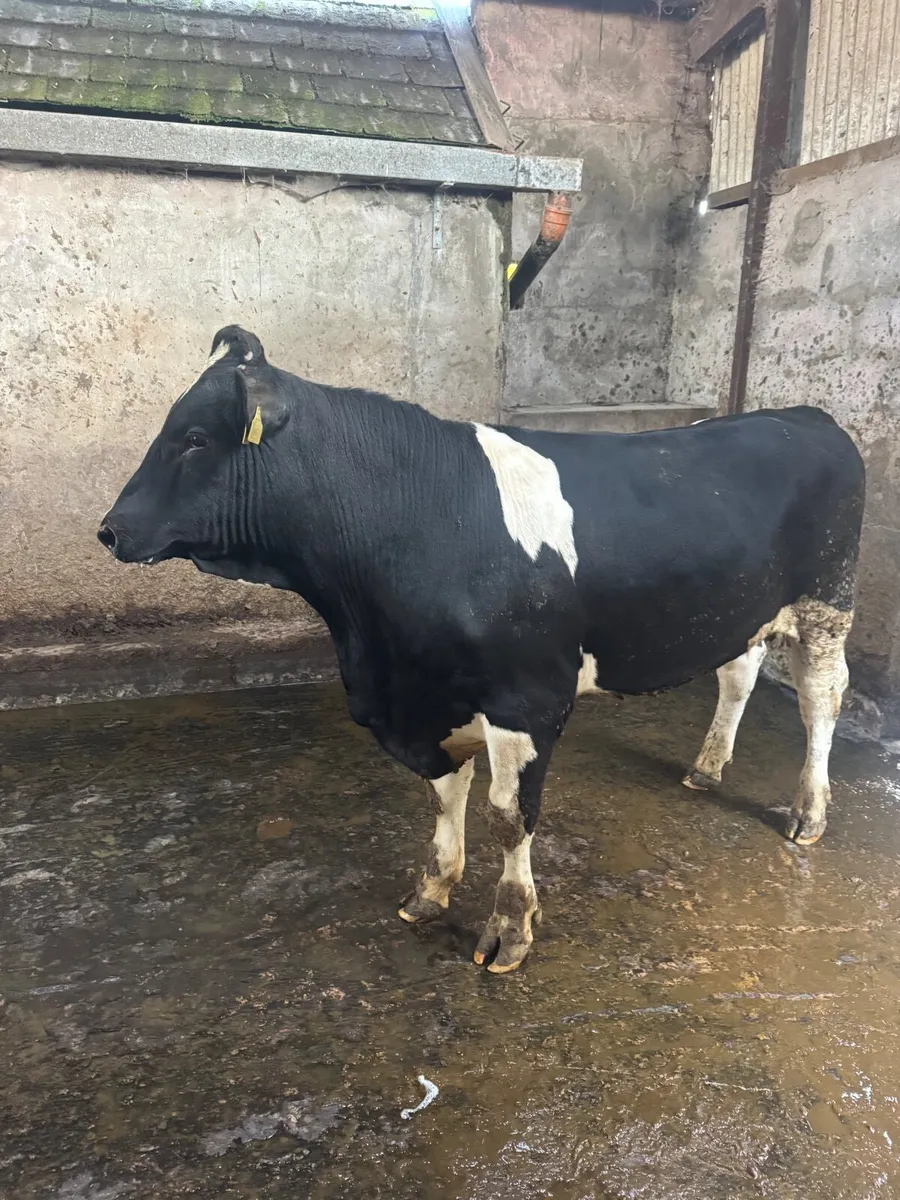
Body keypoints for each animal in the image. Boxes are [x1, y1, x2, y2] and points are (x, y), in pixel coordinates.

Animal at [98, 327, 865, 973]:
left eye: (196, 438)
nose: (109, 529)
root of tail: (803, 415)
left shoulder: (528, 699)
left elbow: (508, 816)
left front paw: (510, 928)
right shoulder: (426, 700)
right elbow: (442, 796)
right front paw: (432, 888)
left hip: (828, 601)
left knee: (821, 700)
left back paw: (809, 812)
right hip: (742, 609)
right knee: (739, 671)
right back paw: (706, 768)